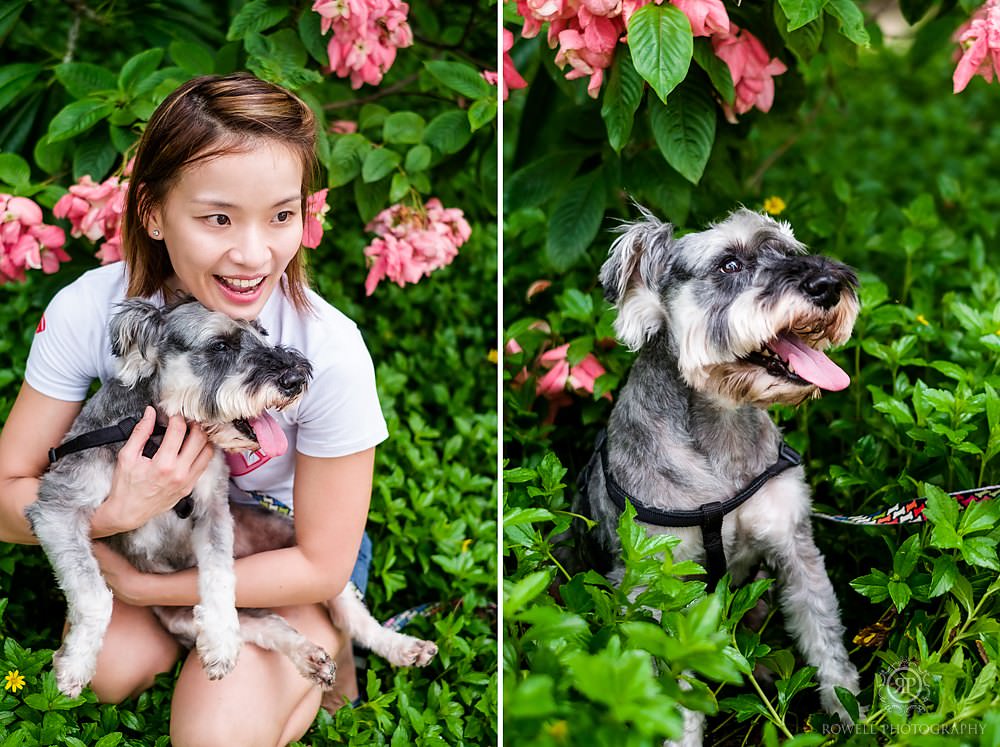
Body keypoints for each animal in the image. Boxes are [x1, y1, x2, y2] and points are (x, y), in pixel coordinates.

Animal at [27, 300, 438, 700]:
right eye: (220, 346)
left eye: (262, 333)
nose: (295, 378)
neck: (158, 433)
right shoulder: (57, 508)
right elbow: (96, 596)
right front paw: (76, 665)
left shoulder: (213, 509)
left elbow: (219, 575)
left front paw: (221, 642)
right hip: (180, 617)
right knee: (268, 623)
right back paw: (309, 657)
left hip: (314, 560)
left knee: (353, 617)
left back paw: (403, 646)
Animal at [580, 206, 868, 744]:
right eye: (729, 264)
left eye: (789, 251)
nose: (827, 285)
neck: (722, 429)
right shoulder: (657, 587)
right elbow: (670, 686)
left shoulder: (794, 546)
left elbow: (823, 635)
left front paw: (849, 712)